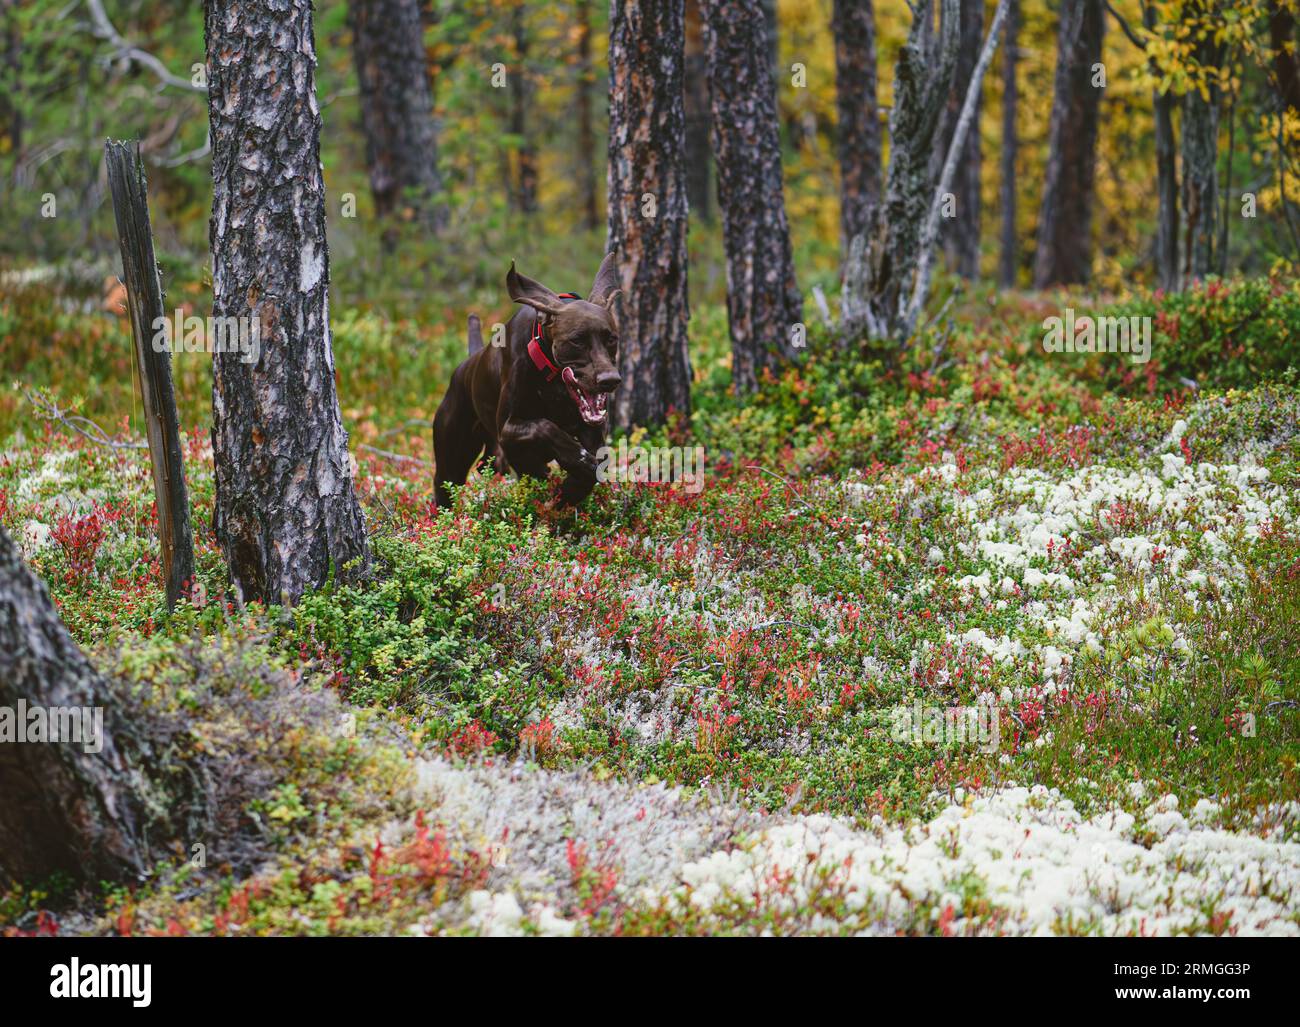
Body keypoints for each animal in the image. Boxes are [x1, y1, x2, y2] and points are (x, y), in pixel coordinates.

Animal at [434, 249, 621, 506]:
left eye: (611, 339)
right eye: (577, 340)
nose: (610, 380)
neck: (553, 380)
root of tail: (467, 363)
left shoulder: (591, 427)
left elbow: (599, 462)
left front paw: (571, 490)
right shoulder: (508, 428)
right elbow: (546, 427)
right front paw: (579, 460)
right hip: (452, 459)